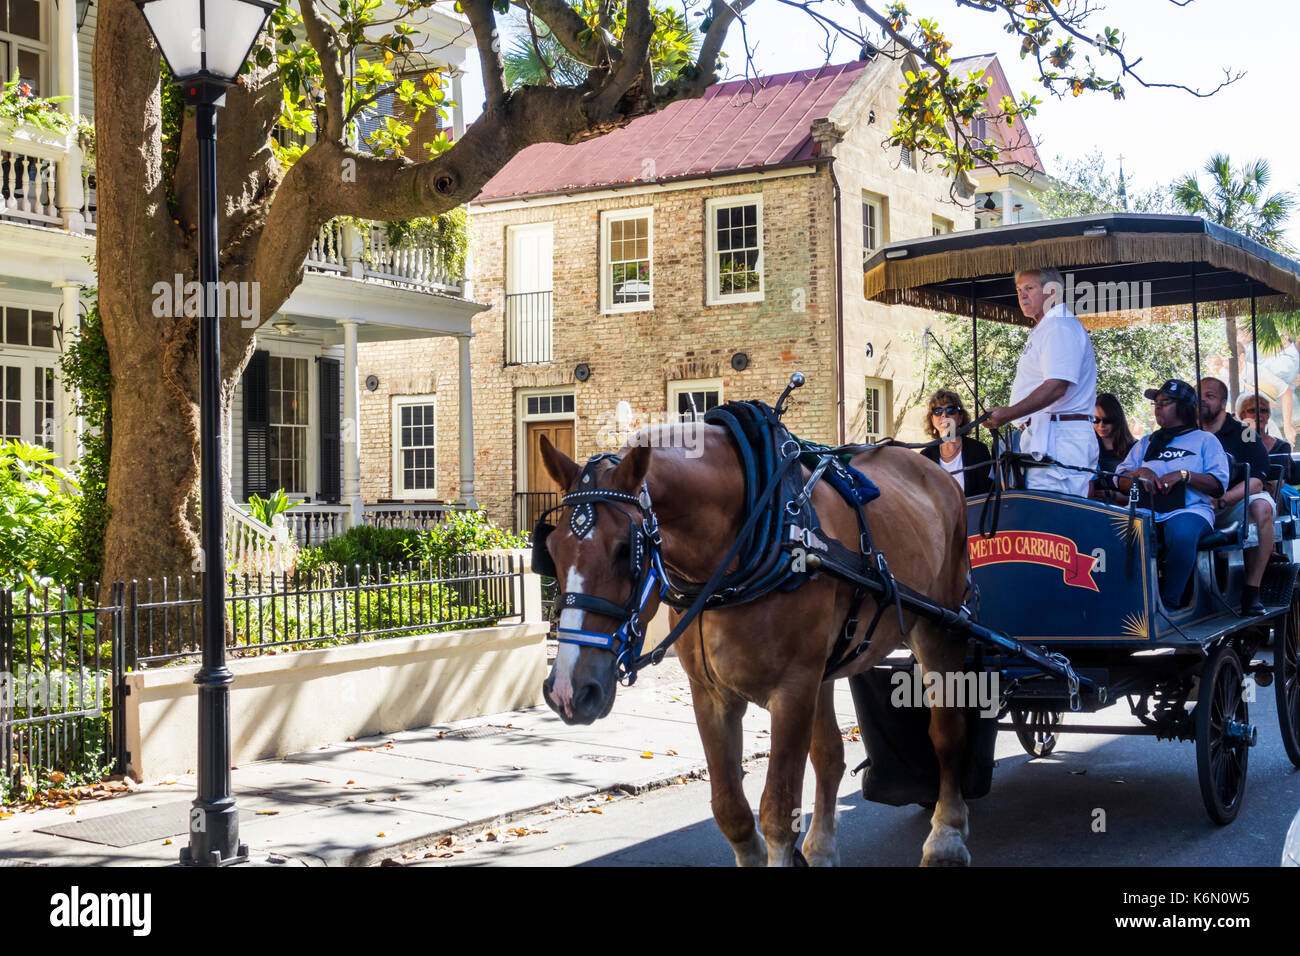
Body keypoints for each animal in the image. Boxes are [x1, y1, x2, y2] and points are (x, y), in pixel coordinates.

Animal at [533, 426, 972, 868]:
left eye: (626, 550)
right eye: (550, 552)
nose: (567, 690)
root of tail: (937, 472)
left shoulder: (793, 690)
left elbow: (777, 811)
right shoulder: (711, 695)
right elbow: (731, 809)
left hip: (941, 631)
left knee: (947, 733)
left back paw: (946, 837)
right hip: (827, 668)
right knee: (830, 755)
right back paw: (821, 848)